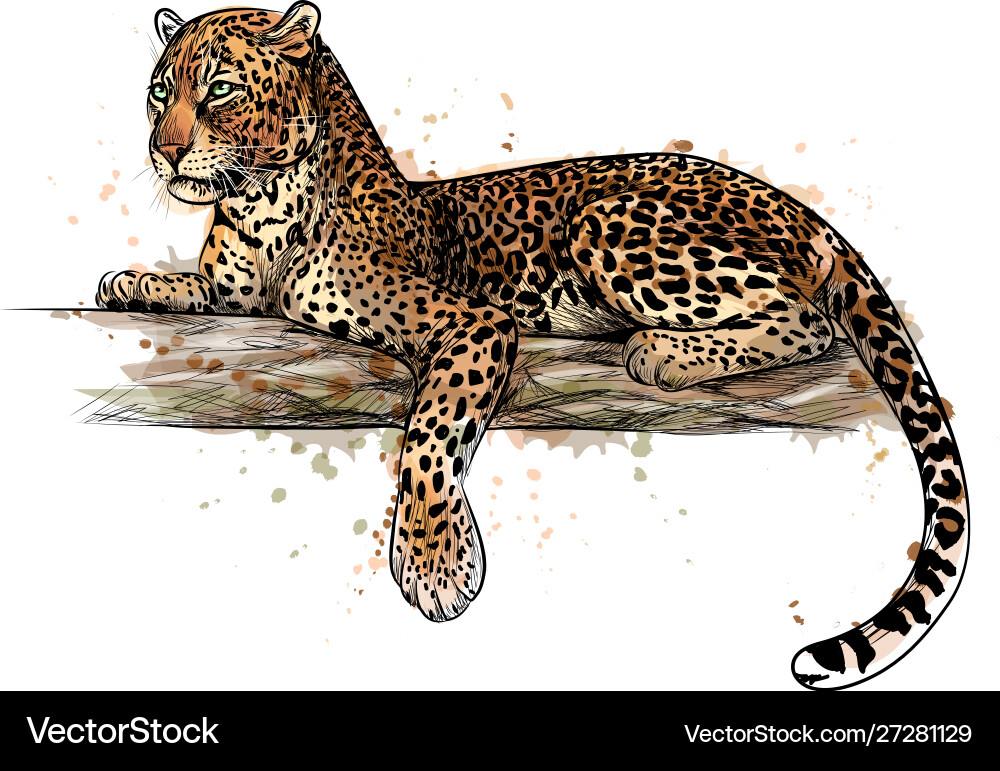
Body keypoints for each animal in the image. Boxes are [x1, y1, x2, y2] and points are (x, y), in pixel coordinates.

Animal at [96, 2, 969, 690]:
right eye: (158, 92)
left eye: (218, 89)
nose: (163, 152)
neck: (260, 208)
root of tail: (791, 205)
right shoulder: (233, 289)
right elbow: (196, 287)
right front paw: (130, 280)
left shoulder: (473, 323)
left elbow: (431, 436)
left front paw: (436, 563)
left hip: (610, 222)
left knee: (807, 317)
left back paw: (664, 350)